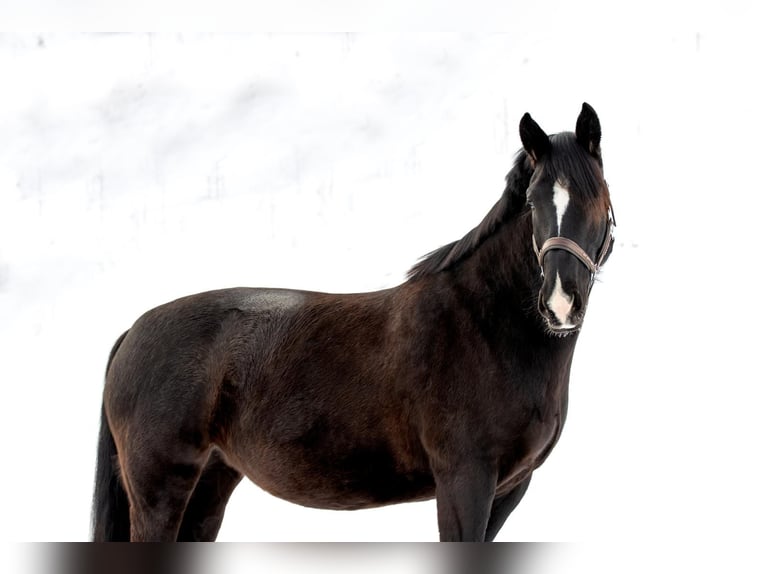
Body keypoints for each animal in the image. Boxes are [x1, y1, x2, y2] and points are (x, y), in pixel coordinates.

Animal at [92, 102, 615, 542]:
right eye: (532, 201)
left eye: (597, 197)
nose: (560, 302)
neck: (485, 328)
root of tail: (132, 332)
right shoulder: (465, 482)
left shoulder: (510, 487)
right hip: (160, 492)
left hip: (211, 483)